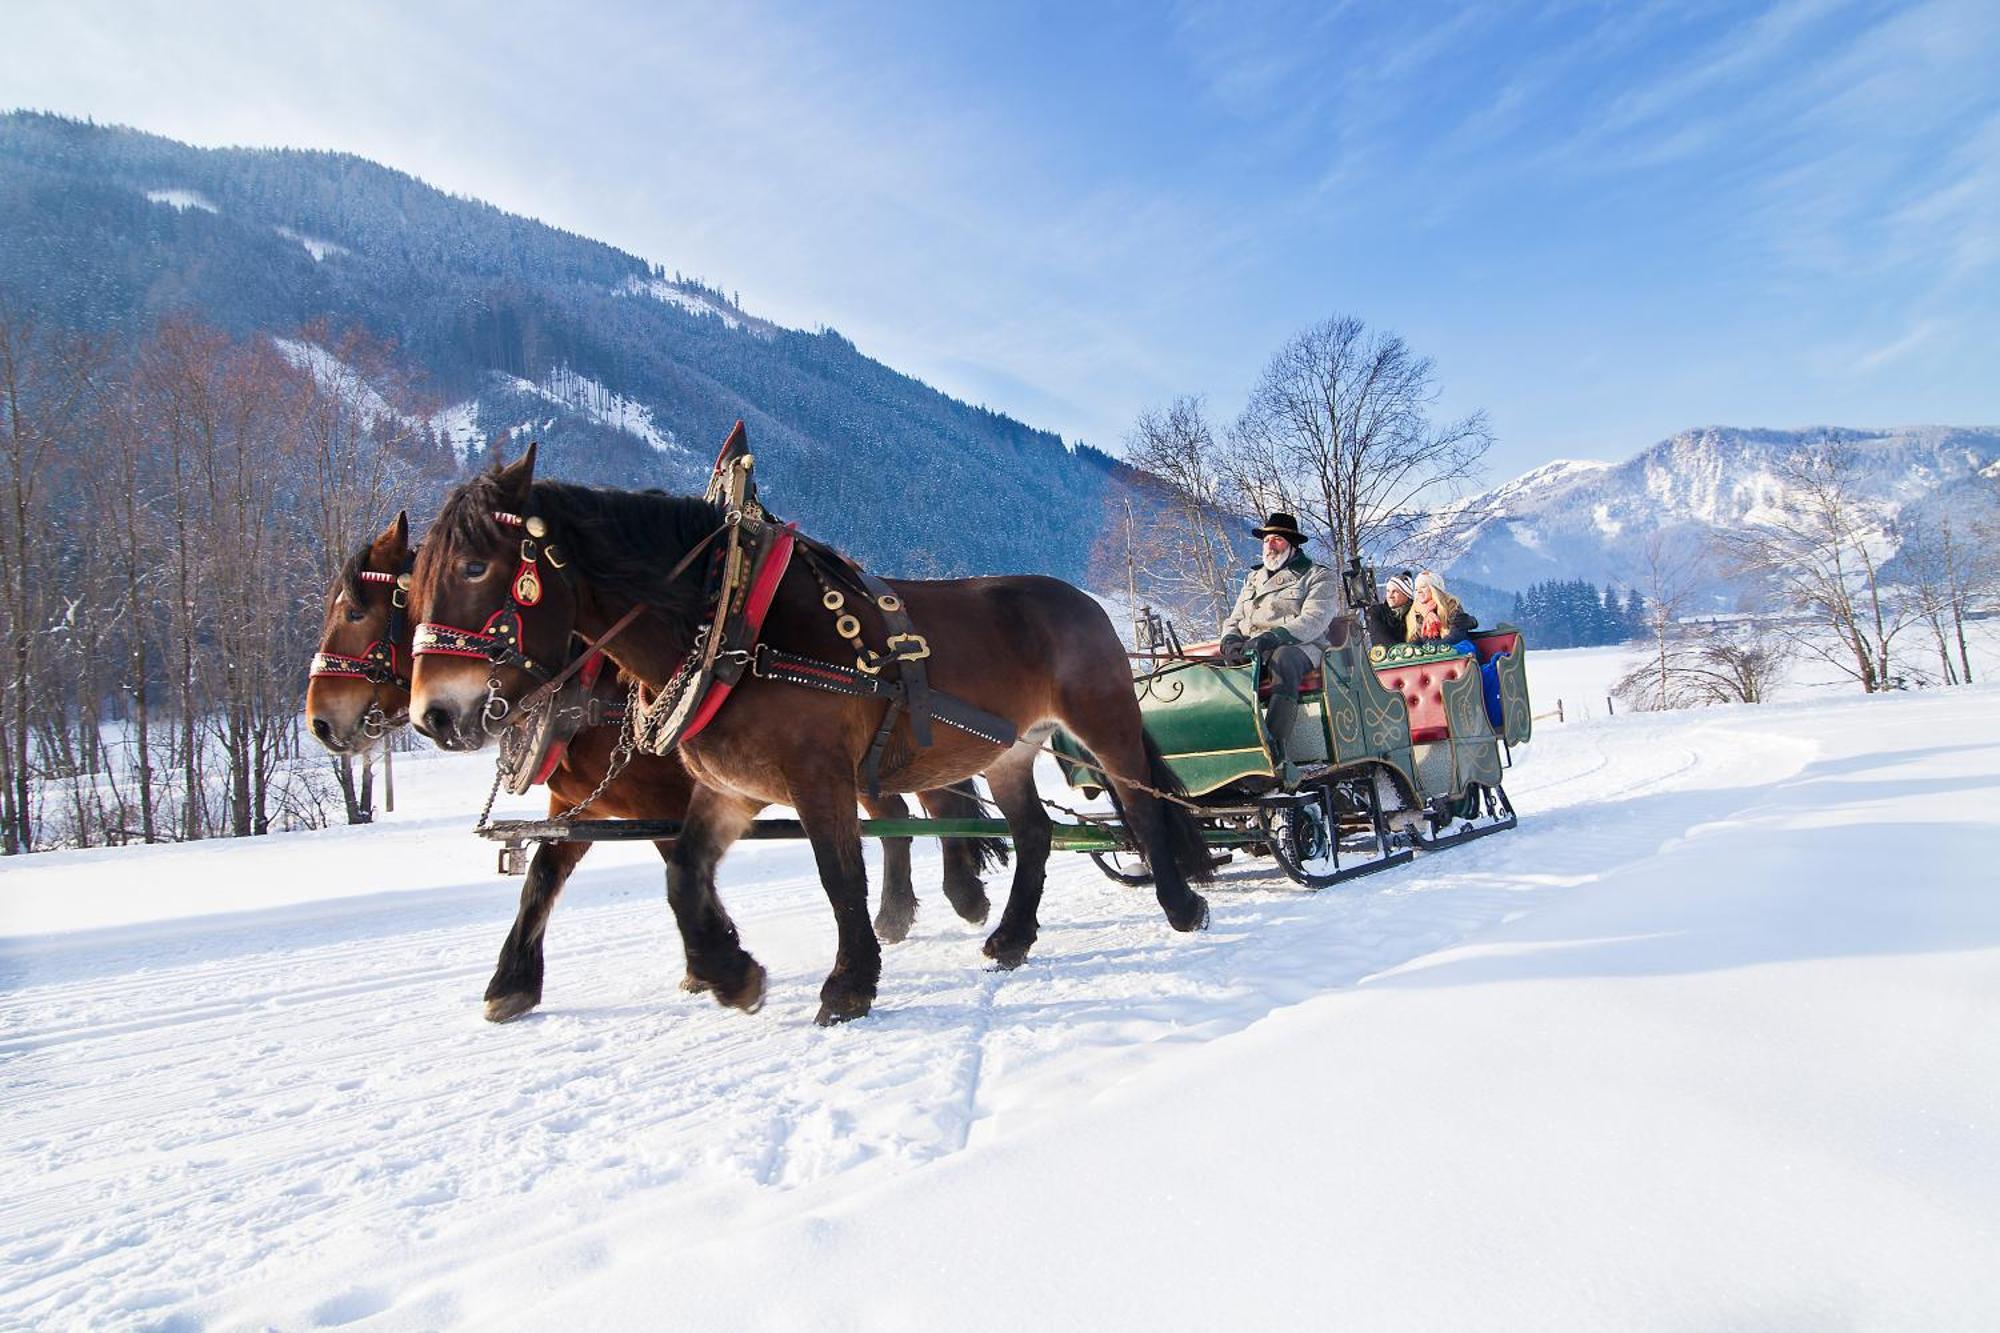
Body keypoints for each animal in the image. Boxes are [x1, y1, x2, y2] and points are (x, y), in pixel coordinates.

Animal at [306, 508, 1008, 1016]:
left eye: (357, 611)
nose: (320, 721)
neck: (591, 681)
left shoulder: (668, 799)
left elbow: (683, 870)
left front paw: (716, 965)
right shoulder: (582, 803)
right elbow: (544, 877)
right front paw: (512, 983)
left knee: (934, 804)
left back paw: (962, 896)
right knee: (897, 814)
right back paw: (901, 913)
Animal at [410, 440, 1200, 1020]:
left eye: (476, 566)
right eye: (413, 587)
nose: (433, 716)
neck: (728, 624)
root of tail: (1087, 603)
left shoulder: (817, 776)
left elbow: (839, 874)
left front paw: (849, 984)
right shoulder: (730, 789)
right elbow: (681, 872)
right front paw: (730, 973)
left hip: (1103, 721)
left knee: (1142, 807)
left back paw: (1182, 905)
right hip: (1007, 750)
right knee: (1033, 832)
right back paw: (1008, 935)